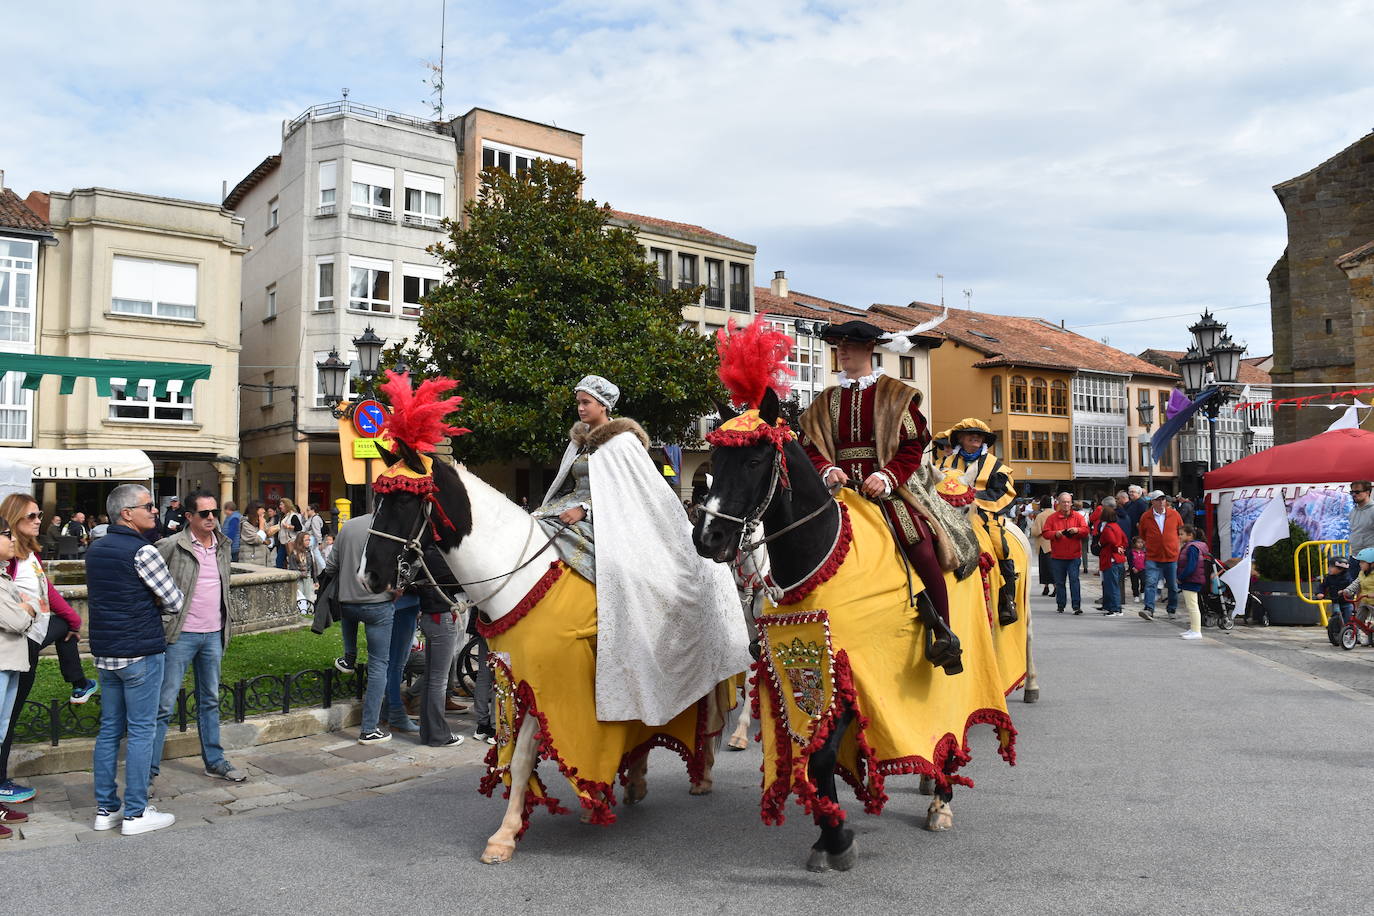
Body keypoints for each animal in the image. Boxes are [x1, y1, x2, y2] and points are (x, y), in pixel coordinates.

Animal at [359, 444, 736, 867]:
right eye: (378, 498)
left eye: (405, 499)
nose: (369, 577)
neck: (522, 578)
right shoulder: (514, 679)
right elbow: (516, 758)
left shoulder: (550, 683)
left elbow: (524, 755)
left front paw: (506, 834)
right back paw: (637, 780)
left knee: (709, 709)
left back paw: (702, 776)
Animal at [692, 390, 1016, 873]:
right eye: (714, 459)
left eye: (753, 460)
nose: (708, 538)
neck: (823, 559)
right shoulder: (804, 672)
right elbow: (815, 756)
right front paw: (829, 832)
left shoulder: (847, 671)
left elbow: (824, 756)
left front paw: (838, 839)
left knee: (951, 723)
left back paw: (940, 798)